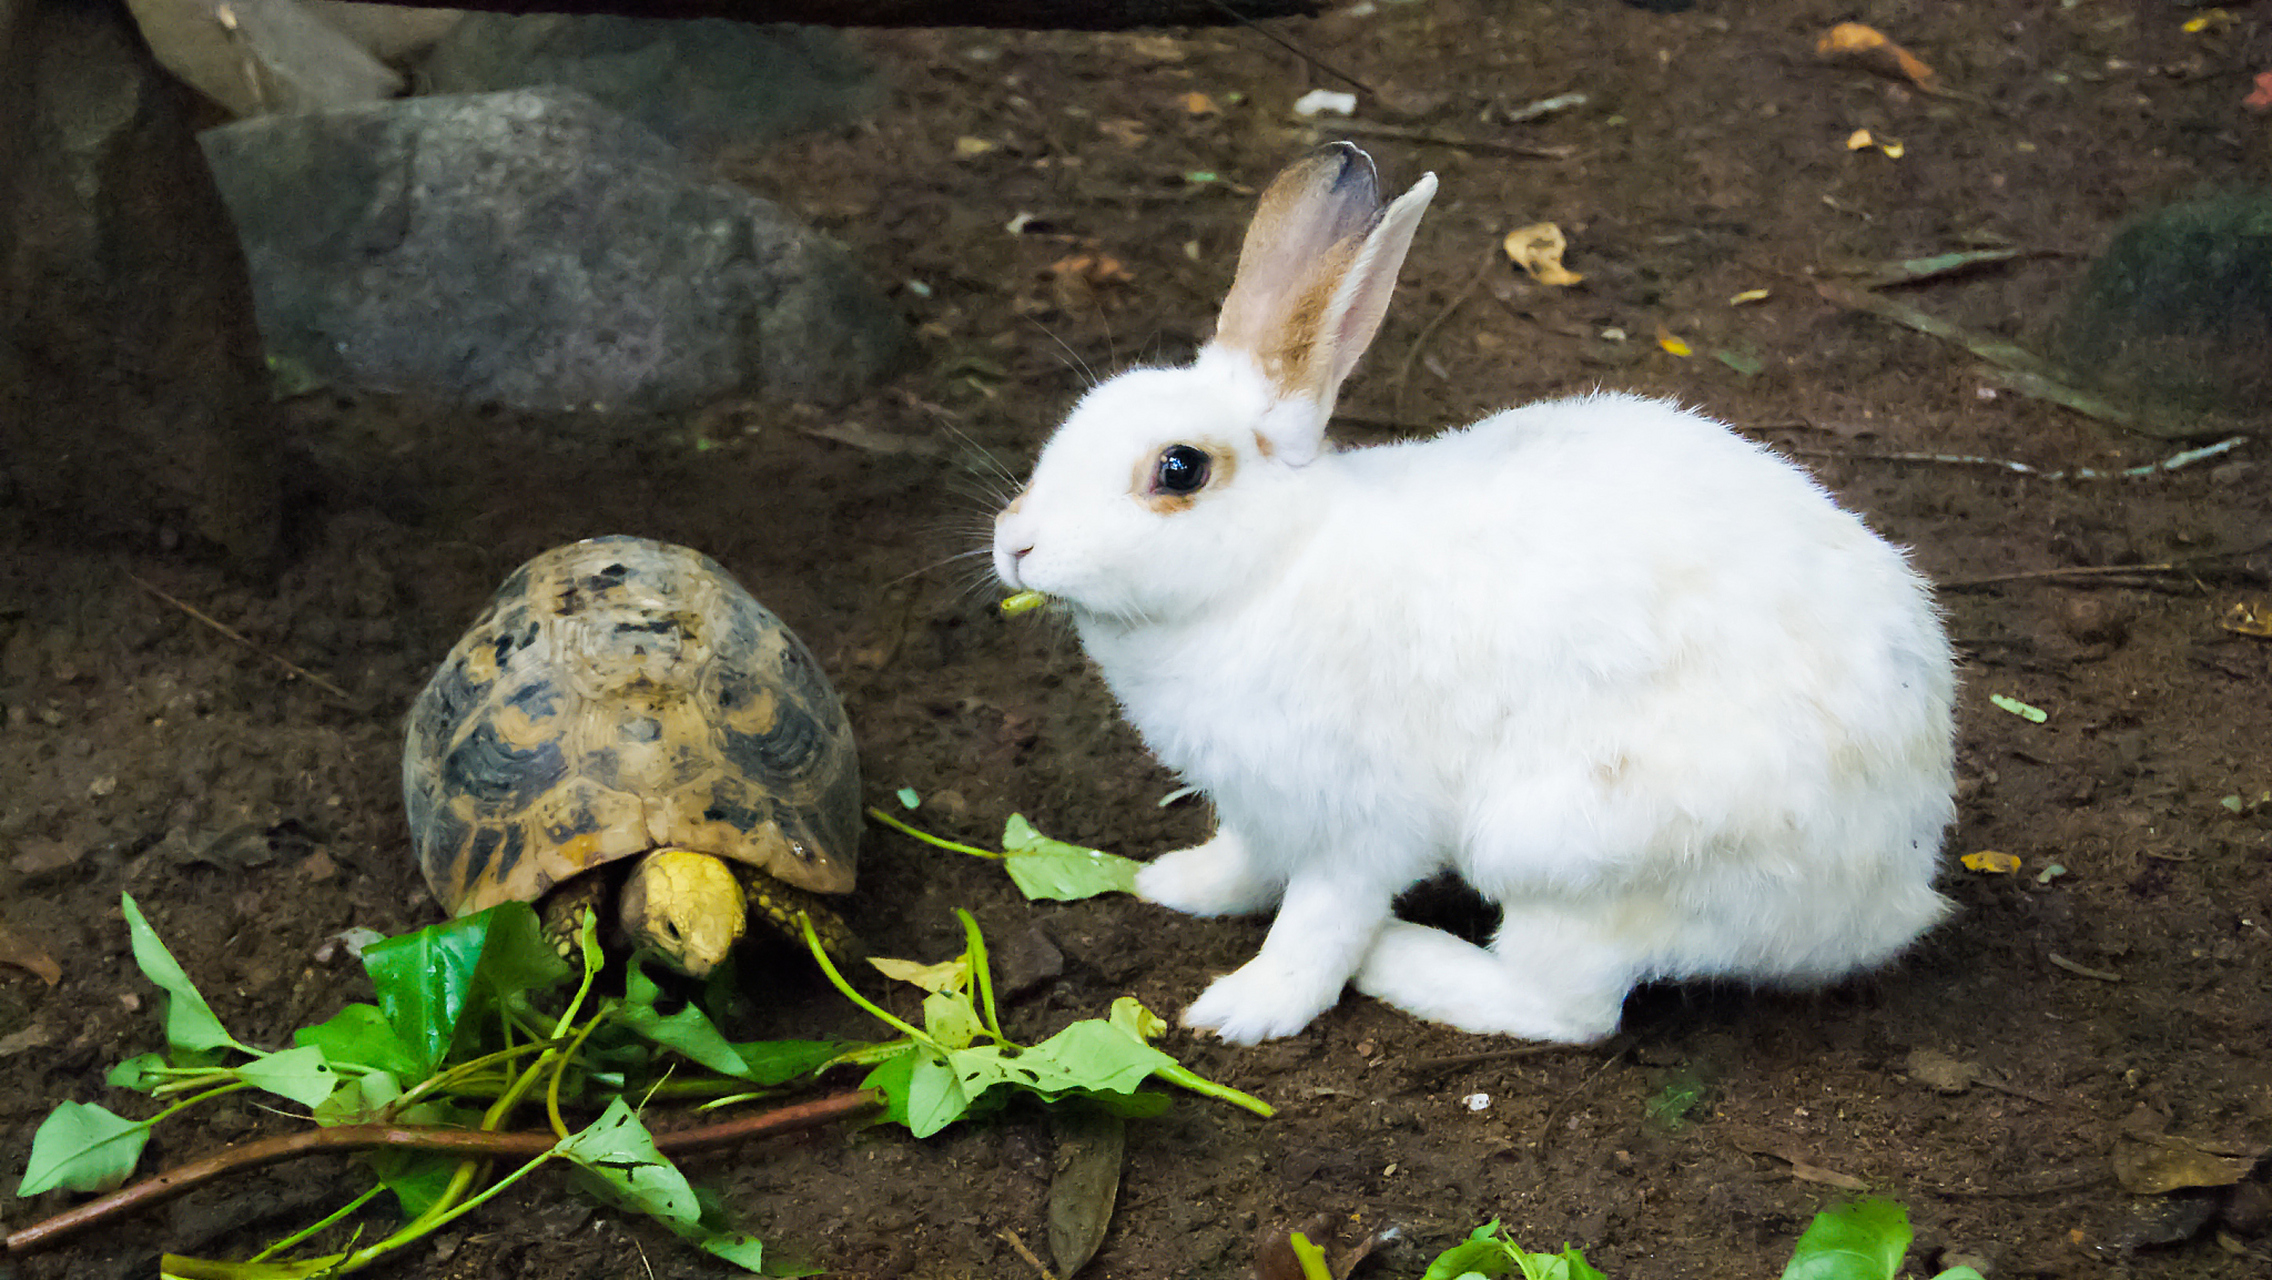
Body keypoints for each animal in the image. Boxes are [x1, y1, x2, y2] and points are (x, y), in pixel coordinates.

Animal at [990, 142, 1953, 1041]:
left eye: (1180, 469)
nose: (1015, 546)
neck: (1275, 565)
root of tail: (1890, 893)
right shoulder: (1261, 807)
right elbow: (1249, 861)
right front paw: (1182, 885)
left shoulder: (1359, 823)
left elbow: (1319, 922)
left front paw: (1248, 1009)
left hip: (1570, 850)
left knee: (1569, 1007)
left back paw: (1401, 958)